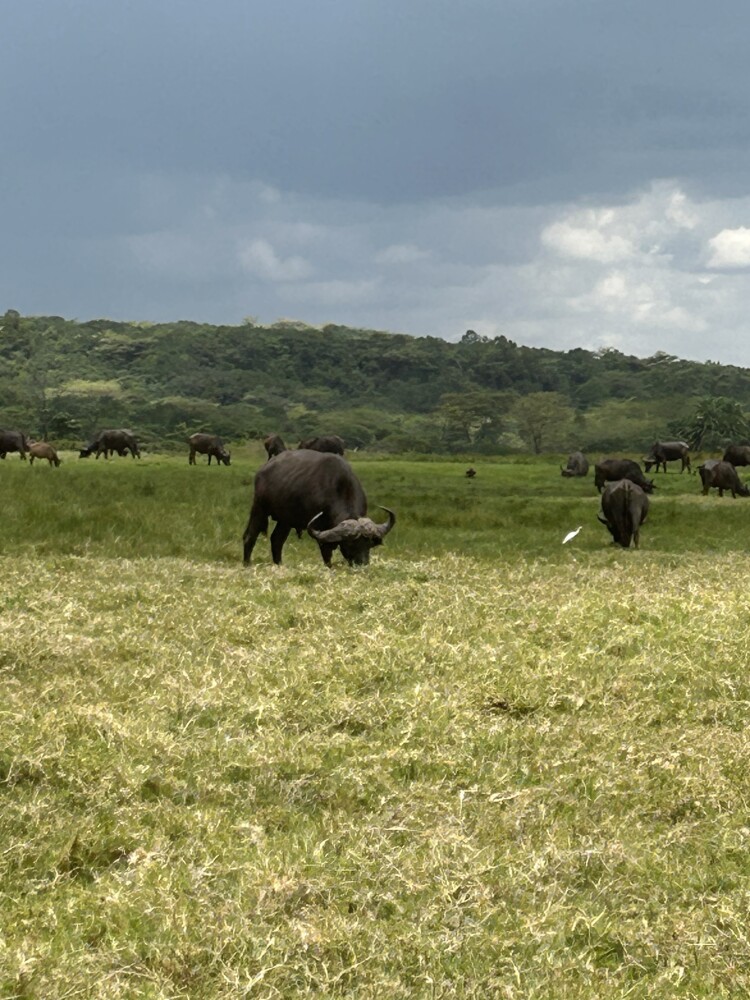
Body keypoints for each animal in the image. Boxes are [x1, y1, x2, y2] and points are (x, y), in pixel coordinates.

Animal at [242, 449, 395, 567]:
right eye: (350, 544)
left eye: (368, 544)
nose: (362, 564)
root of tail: (262, 471)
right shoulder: (321, 530)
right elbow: (327, 555)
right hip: (259, 508)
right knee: (250, 536)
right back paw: (247, 564)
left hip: (285, 520)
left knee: (277, 540)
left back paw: (279, 564)